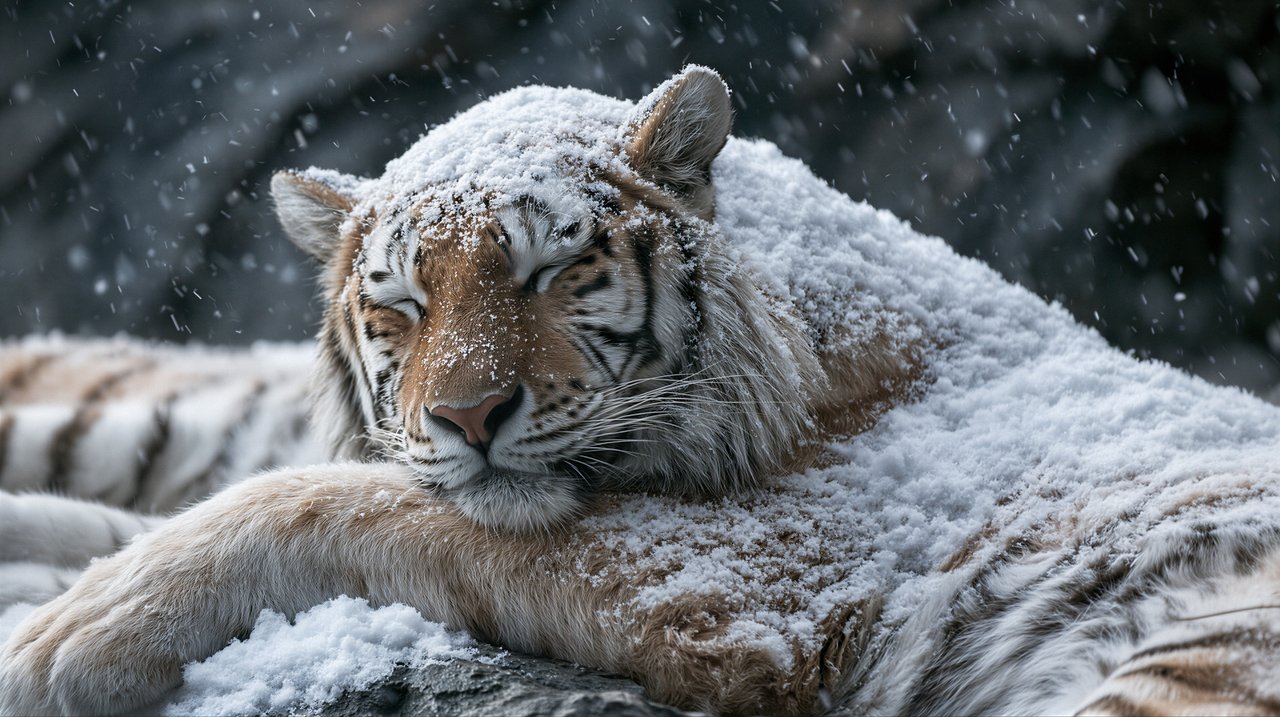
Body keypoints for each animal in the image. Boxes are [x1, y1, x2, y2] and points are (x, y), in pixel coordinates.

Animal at [2, 66, 1280, 716]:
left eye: (549, 270)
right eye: (401, 306)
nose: (466, 418)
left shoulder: (756, 582)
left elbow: (310, 501)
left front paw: (62, 643)